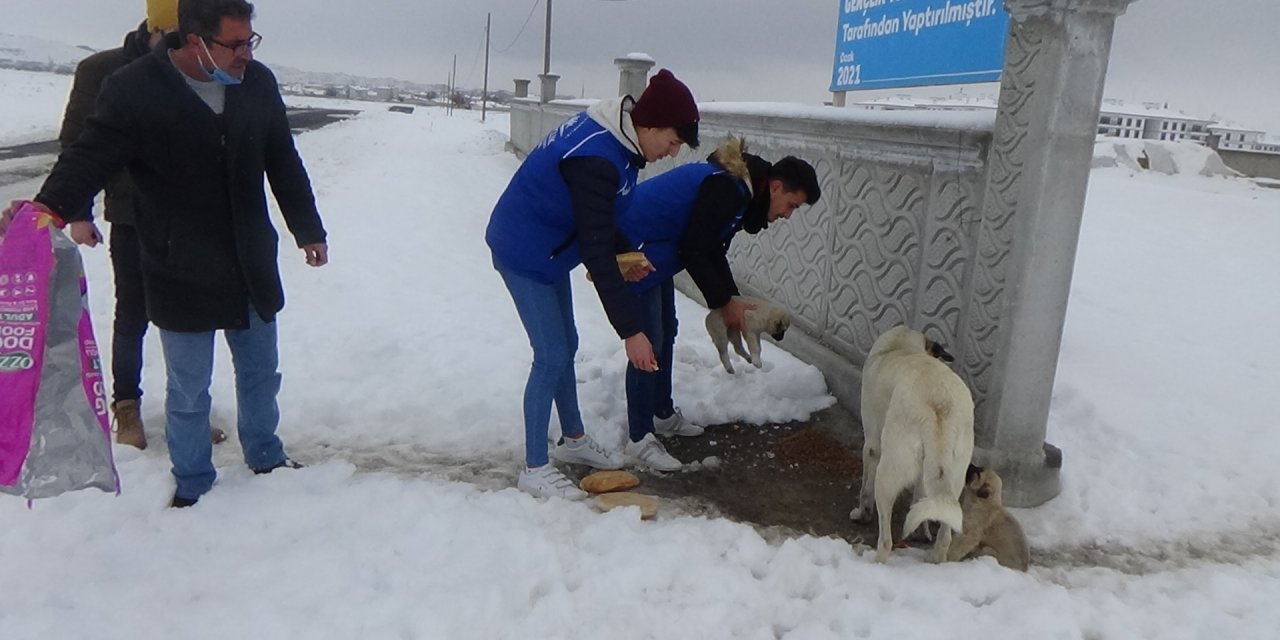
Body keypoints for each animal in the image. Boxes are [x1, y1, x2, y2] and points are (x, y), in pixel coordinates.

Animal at [855, 327, 972, 563]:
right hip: (954, 482)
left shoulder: (871, 447)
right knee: (944, 536)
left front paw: (862, 513)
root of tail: (938, 405)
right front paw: (922, 531)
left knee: (886, 541)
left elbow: (865, 490)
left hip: (887, 474)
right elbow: (919, 495)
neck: (902, 347)